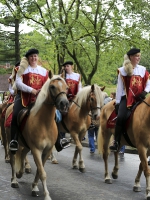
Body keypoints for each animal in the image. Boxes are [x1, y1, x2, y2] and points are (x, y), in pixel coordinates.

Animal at [9, 71, 69, 200]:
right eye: (52, 87)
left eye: (66, 87)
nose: (64, 104)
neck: (44, 123)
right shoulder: (36, 149)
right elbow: (42, 172)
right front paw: (46, 195)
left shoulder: (47, 150)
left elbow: (39, 170)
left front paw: (35, 187)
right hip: (10, 141)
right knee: (12, 159)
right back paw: (14, 180)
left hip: (26, 145)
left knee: (22, 154)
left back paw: (20, 172)